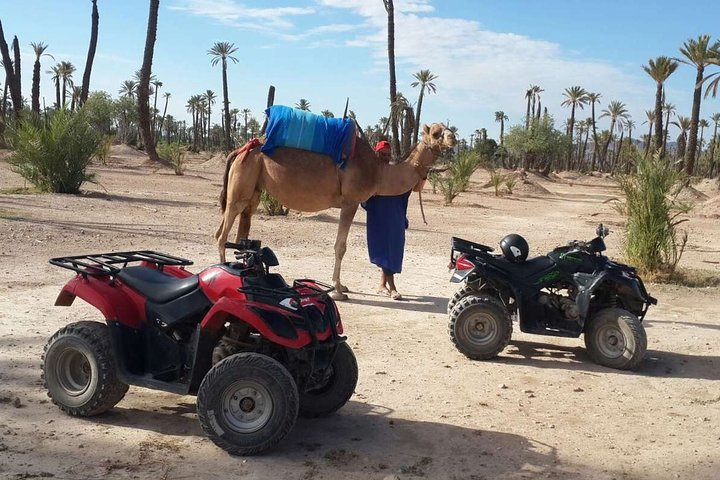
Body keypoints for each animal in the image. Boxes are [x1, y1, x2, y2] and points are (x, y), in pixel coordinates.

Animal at [214, 122, 456, 298]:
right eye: (436, 133)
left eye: (448, 128)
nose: (453, 138)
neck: (378, 172)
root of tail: (239, 150)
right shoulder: (350, 201)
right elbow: (341, 247)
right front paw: (338, 290)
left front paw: (342, 286)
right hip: (241, 184)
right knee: (222, 234)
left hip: (254, 189)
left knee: (240, 229)